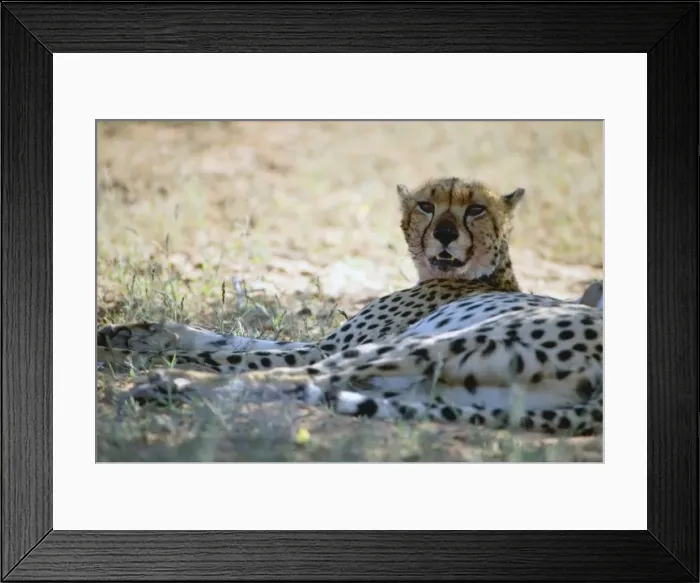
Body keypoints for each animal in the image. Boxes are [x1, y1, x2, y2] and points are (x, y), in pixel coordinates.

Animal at [98, 177, 603, 436]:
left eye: (475, 210)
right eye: (426, 205)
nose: (444, 233)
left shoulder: (327, 347)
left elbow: (239, 354)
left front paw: (126, 354)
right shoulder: (324, 342)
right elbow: (230, 338)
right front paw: (131, 332)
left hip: (431, 346)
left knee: (289, 377)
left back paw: (164, 382)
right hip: (433, 387)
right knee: (311, 387)